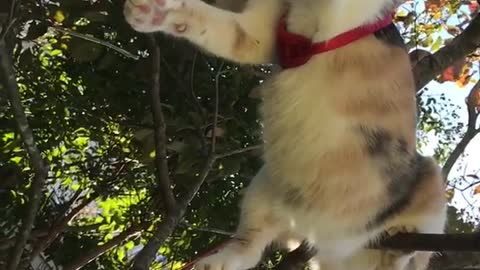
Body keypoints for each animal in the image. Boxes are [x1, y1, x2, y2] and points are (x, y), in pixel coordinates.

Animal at [123, 0, 446, 270]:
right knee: (249, 247)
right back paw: (217, 263)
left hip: (428, 179)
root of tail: (321, 233)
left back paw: (402, 242)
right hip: (263, 190)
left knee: (404, 259)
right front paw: (157, 13)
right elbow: (216, 25)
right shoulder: (261, 35)